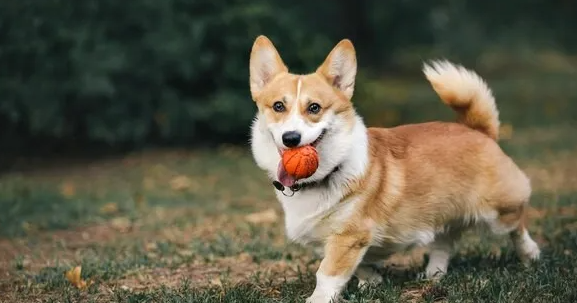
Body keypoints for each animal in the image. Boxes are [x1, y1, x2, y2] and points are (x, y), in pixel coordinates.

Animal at [248, 36, 540, 303]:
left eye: (314, 108)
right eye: (278, 106)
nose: (291, 138)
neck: (328, 173)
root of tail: (479, 130)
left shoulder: (348, 236)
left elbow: (327, 274)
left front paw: (318, 299)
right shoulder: (340, 240)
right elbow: (358, 264)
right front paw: (373, 281)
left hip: (497, 213)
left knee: (517, 224)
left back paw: (531, 254)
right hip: (441, 212)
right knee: (444, 241)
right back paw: (433, 274)